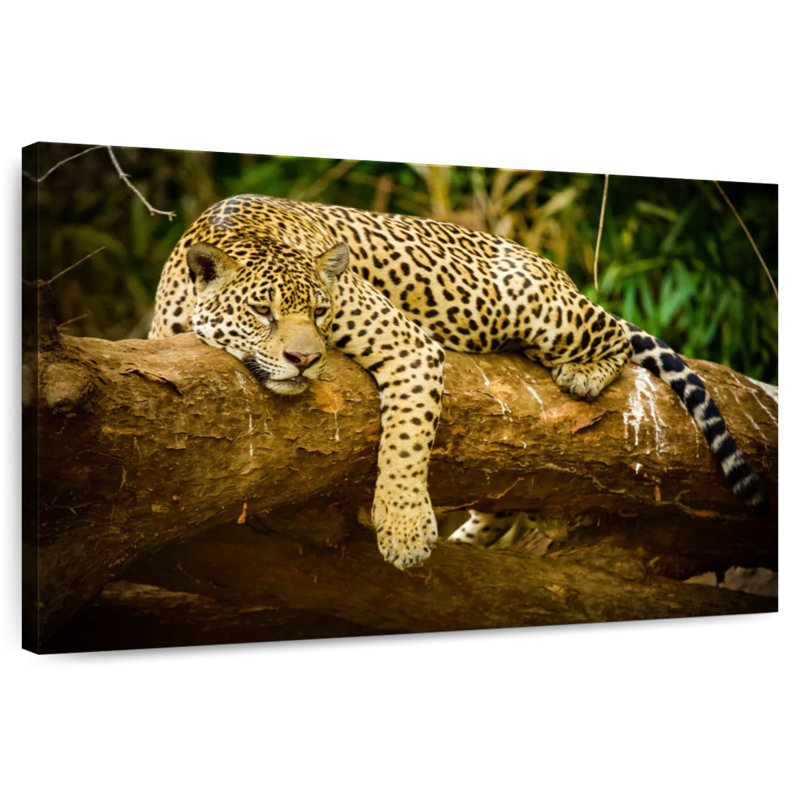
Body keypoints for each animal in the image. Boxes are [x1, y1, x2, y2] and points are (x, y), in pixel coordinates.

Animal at [149, 194, 767, 569]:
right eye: (263, 311)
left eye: (321, 312)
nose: (304, 358)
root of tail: (551, 267)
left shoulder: (409, 345)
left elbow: (403, 442)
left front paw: (403, 530)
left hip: (534, 305)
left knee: (610, 329)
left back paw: (584, 372)